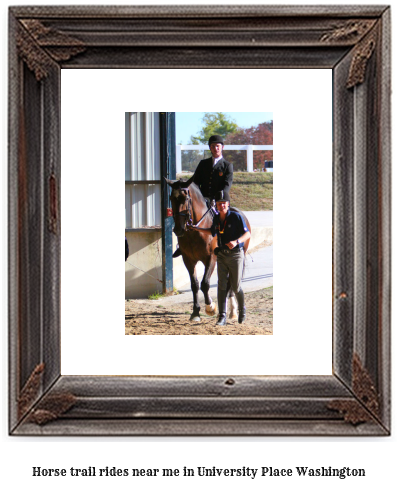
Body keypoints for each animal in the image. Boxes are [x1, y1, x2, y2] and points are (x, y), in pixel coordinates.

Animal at [167, 179, 252, 320]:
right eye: (171, 198)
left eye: (185, 198)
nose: (178, 229)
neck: (195, 231)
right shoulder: (188, 260)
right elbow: (195, 284)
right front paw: (195, 312)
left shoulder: (211, 258)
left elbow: (205, 283)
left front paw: (210, 307)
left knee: (231, 282)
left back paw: (232, 311)